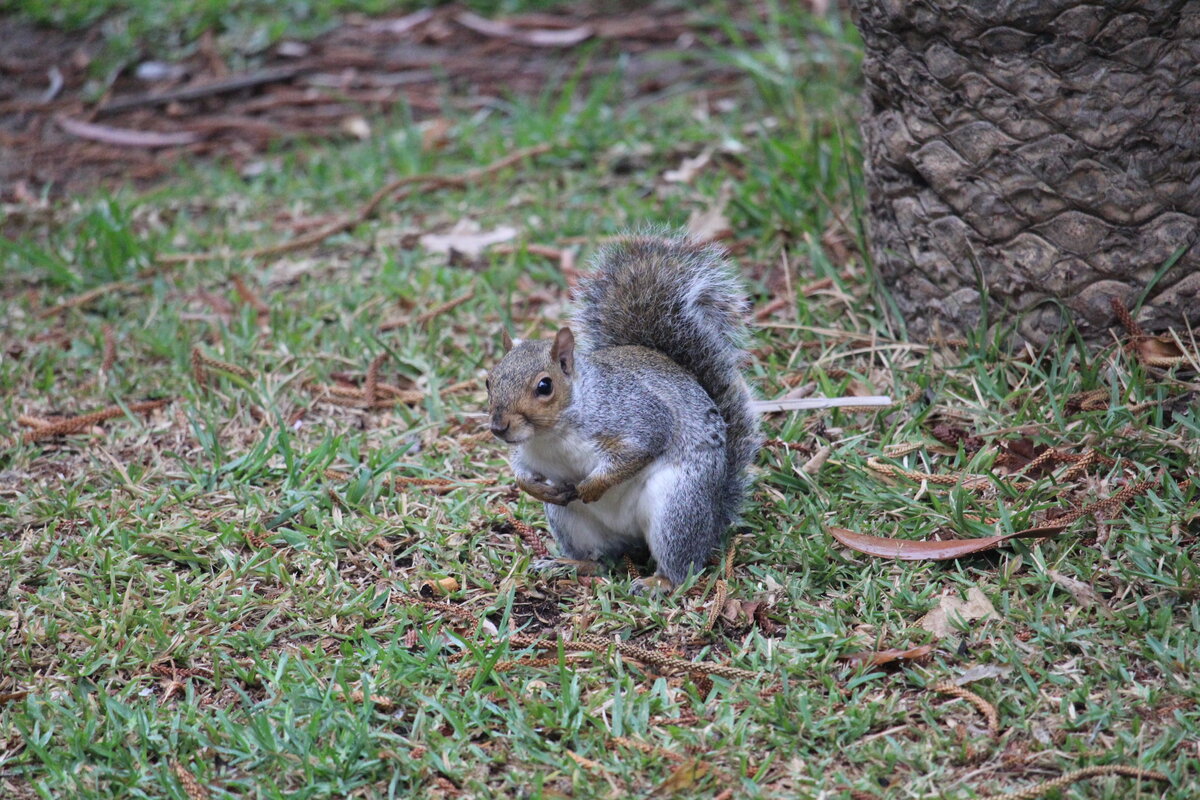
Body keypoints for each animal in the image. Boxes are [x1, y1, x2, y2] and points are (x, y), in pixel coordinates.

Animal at [484, 232, 758, 594]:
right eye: (489, 380)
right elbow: (520, 473)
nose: (499, 427)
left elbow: (640, 448)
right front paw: (538, 488)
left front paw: (591, 487)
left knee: (681, 566)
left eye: (544, 386)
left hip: (676, 508)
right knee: (600, 559)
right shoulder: (530, 453)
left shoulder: (634, 416)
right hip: (571, 522)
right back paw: (569, 563)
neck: (552, 435)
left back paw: (657, 582)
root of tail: (714, 516)